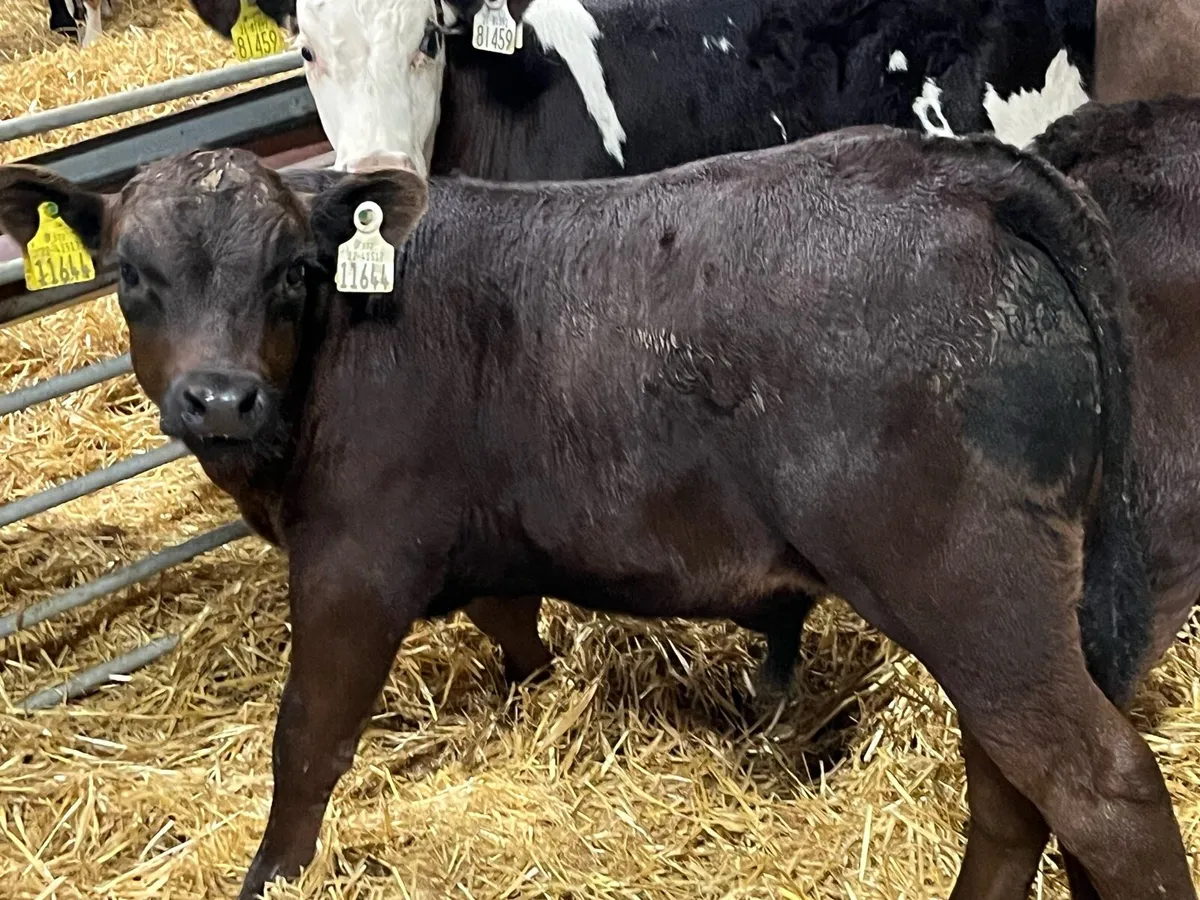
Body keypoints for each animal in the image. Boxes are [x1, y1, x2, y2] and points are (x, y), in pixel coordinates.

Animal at [0, 123, 1189, 898]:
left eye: (293, 272)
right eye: (132, 276)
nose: (220, 396)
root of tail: (957, 171)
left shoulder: (355, 563)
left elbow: (308, 743)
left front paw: (269, 875)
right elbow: (516, 629)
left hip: (966, 580)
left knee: (1102, 786)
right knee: (1008, 788)